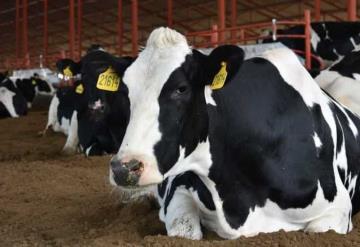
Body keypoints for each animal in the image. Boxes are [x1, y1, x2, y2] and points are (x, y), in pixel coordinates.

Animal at [109, 27, 360, 239]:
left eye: (181, 88)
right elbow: (184, 231)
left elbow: (318, 231)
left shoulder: (338, 207)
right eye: (126, 91)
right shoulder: (177, 190)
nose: (124, 168)